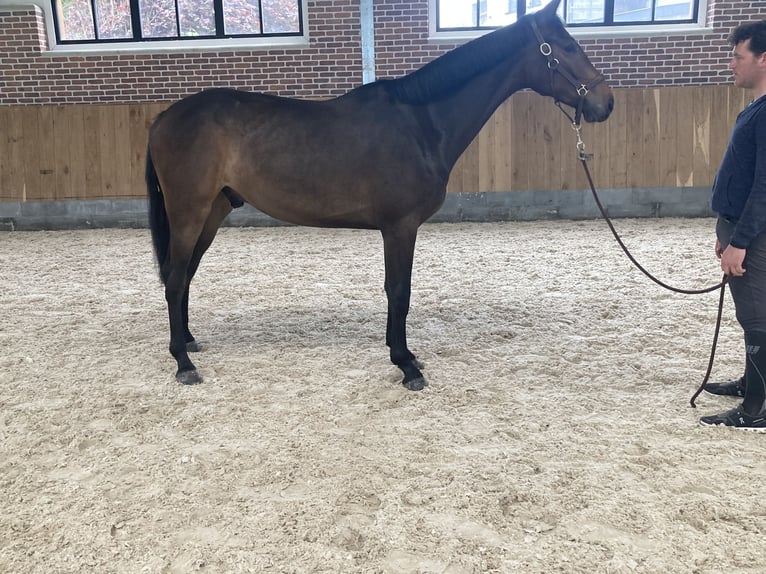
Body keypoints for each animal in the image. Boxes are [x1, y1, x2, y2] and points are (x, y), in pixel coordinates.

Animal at [146, 0, 612, 392]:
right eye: (567, 46)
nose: (605, 102)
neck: (422, 123)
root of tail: (165, 116)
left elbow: (397, 291)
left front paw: (404, 354)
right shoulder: (400, 227)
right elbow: (399, 290)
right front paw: (405, 364)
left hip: (214, 210)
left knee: (185, 275)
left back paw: (189, 341)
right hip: (189, 212)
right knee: (175, 277)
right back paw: (183, 362)